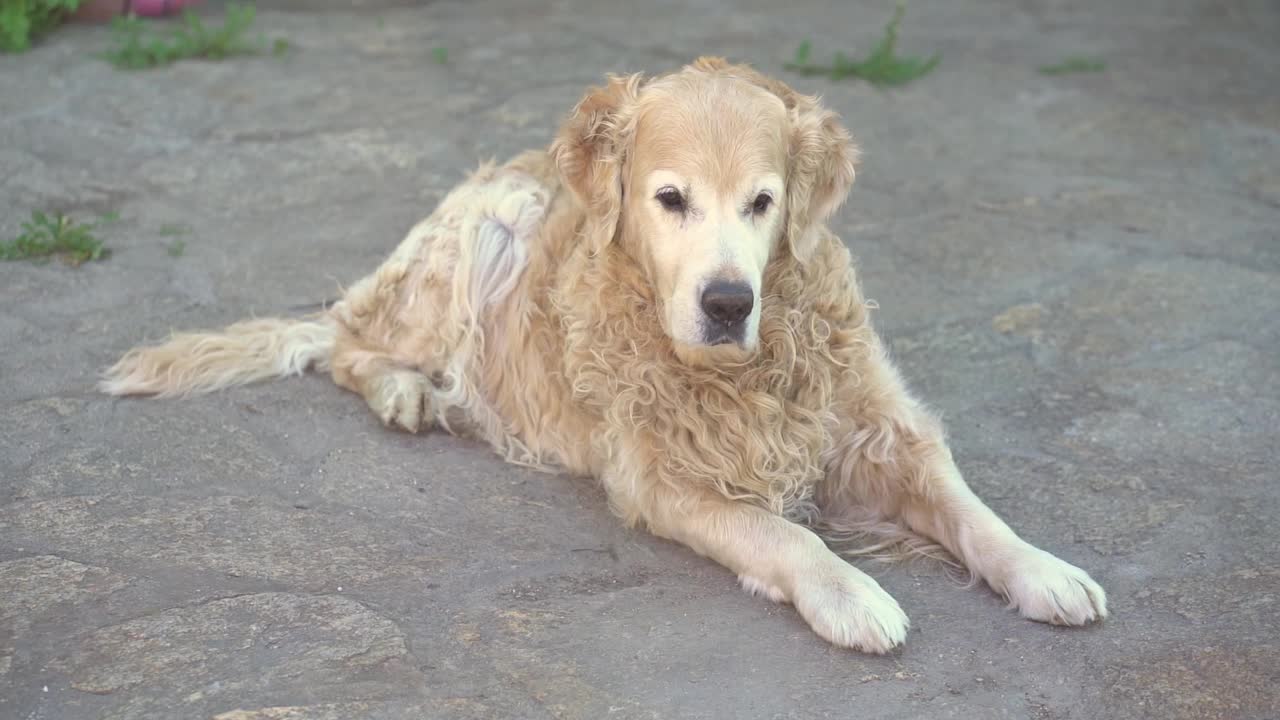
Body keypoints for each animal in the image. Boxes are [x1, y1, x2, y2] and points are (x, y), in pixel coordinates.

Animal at [99, 57, 1105, 650]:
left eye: (764, 203)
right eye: (670, 199)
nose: (728, 302)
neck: (749, 366)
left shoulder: (883, 427)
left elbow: (974, 514)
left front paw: (1046, 571)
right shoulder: (662, 478)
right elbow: (783, 534)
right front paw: (850, 593)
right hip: (482, 226)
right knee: (346, 342)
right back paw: (406, 393)